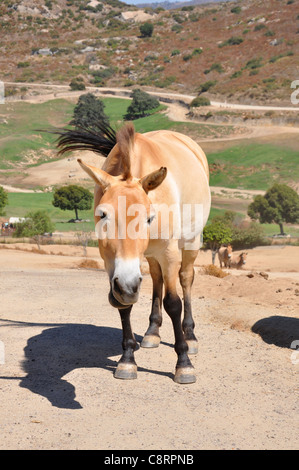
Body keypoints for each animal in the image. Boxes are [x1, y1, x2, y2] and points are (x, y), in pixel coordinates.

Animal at [55, 122, 211, 386]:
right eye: (102, 214)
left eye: (149, 218)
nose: (128, 285)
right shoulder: (113, 265)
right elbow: (124, 305)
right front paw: (127, 359)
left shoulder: (169, 253)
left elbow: (173, 303)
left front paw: (184, 364)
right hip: (150, 256)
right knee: (157, 279)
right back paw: (152, 333)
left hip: (191, 243)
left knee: (186, 279)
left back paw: (190, 337)